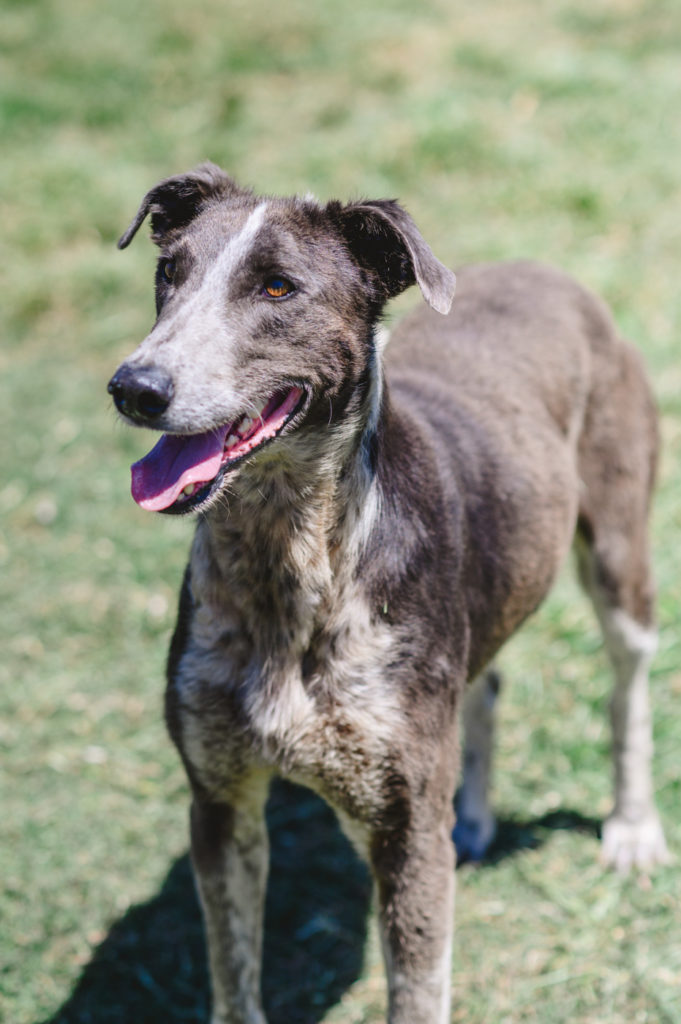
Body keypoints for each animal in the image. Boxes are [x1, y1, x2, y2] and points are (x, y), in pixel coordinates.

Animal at [108, 162, 669, 1024]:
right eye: (169, 273)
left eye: (277, 287)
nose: (134, 387)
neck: (291, 560)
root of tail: (545, 272)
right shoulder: (219, 801)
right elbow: (233, 972)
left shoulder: (405, 830)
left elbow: (416, 988)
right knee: (487, 684)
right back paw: (474, 820)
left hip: (616, 553)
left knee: (627, 687)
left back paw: (632, 828)